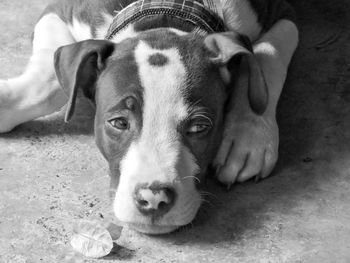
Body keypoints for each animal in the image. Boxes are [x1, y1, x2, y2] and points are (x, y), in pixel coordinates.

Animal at [0, 0, 298, 235]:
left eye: (200, 127)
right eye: (119, 123)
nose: (153, 200)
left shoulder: (284, 16)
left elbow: (265, 55)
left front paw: (249, 138)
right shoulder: (57, 11)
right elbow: (50, 81)